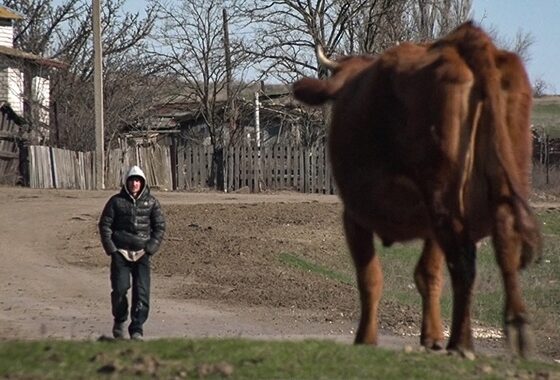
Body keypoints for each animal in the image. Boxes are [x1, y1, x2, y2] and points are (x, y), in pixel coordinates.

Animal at [294, 21, 544, 360]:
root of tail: (465, 42)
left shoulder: (354, 216)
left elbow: (370, 277)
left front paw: (366, 338)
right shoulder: (429, 226)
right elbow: (428, 274)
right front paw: (433, 335)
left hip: (444, 201)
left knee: (463, 264)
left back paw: (462, 342)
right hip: (496, 187)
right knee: (504, 242)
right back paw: (516, 327)